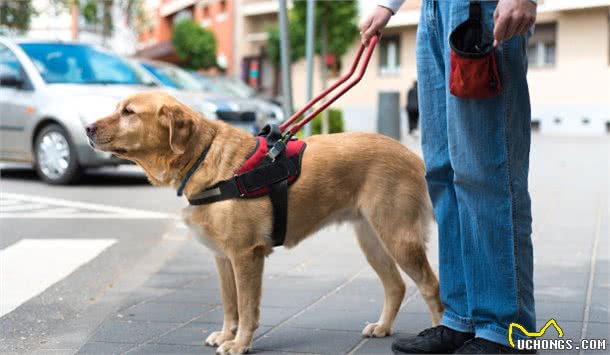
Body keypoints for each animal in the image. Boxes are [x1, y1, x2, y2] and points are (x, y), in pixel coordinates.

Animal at [86, 92, 442, 355]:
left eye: (128, 112)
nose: (87, 128)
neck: (204, 156)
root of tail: (411, 155)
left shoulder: (246, 255)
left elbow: (247, 307)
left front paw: (240, 343)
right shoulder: (223, 258)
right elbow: (230, 304)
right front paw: (226, 335)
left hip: (398, 237)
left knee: (430, 285)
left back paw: (439, 332)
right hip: (372, 240)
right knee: (395, 286)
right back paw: (383, 327)